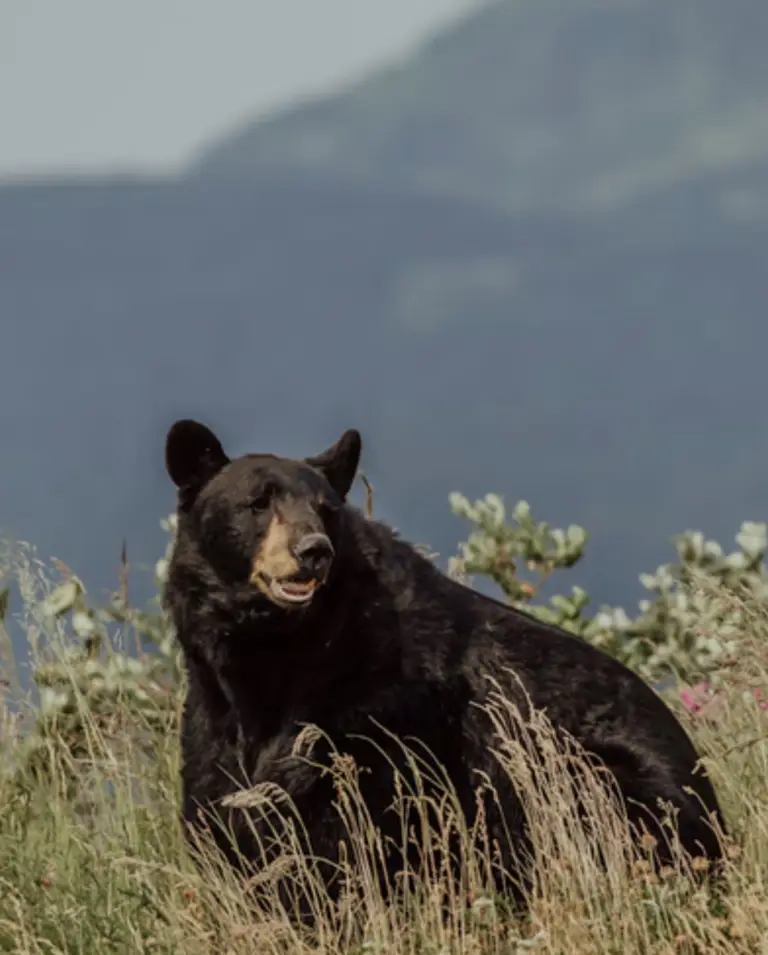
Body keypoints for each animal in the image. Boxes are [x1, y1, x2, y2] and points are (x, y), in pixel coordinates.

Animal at [162, 418, 726, 915]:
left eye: (326, 511)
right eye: (257, 503)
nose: (313, 551)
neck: (276, 653)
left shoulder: (377, 711)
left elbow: (343, 824)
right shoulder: (213, 714)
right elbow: (223, 808)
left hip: (597, 779)